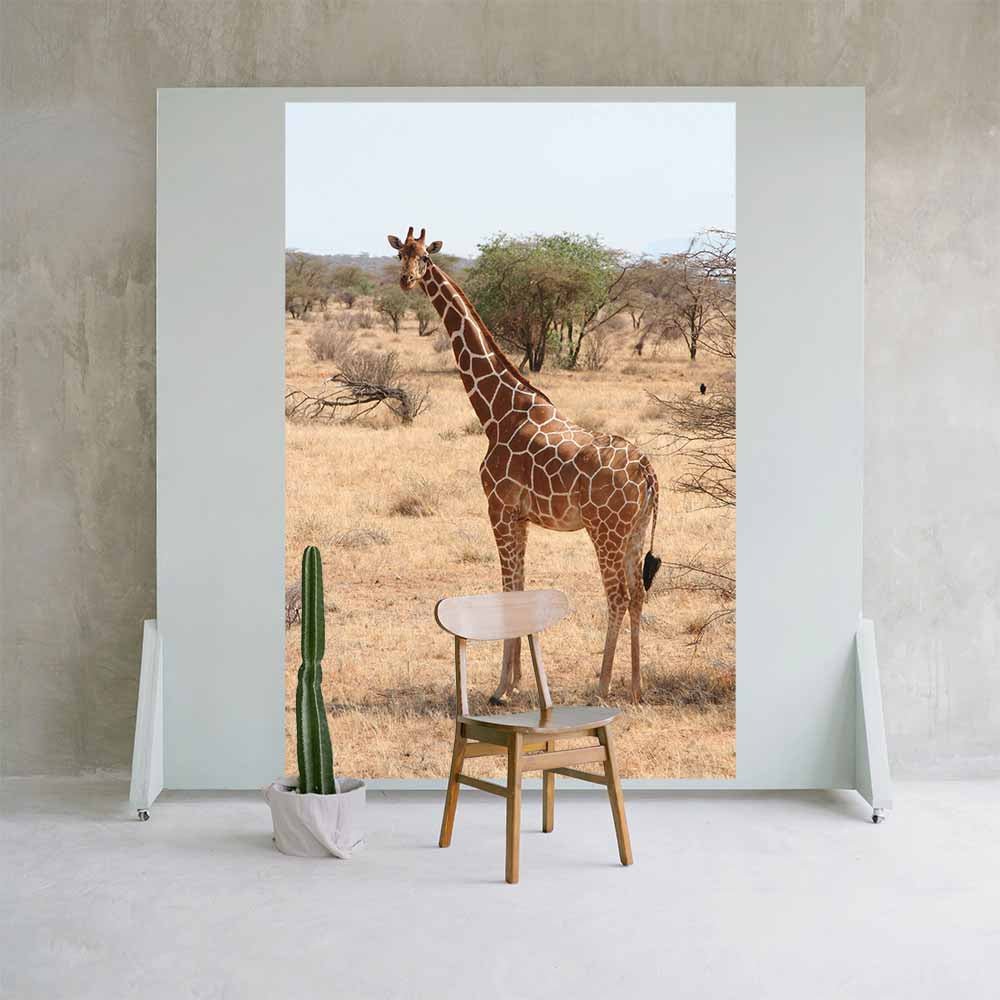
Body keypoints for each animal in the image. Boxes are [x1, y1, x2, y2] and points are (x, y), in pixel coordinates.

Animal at [389, 227, 662, 702]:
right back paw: (635, 687)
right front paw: (515, 681)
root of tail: (647, 470)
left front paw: (502, 687)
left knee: (616, 595)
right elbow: (517, 587)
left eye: (424, 257)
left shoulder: (498, 508)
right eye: (400, 254)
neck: (495, 409)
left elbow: (507, 588)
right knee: (637, 594)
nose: (406, 280)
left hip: (604, 530)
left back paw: (603, 684)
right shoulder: (520, 515)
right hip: (635, 530)